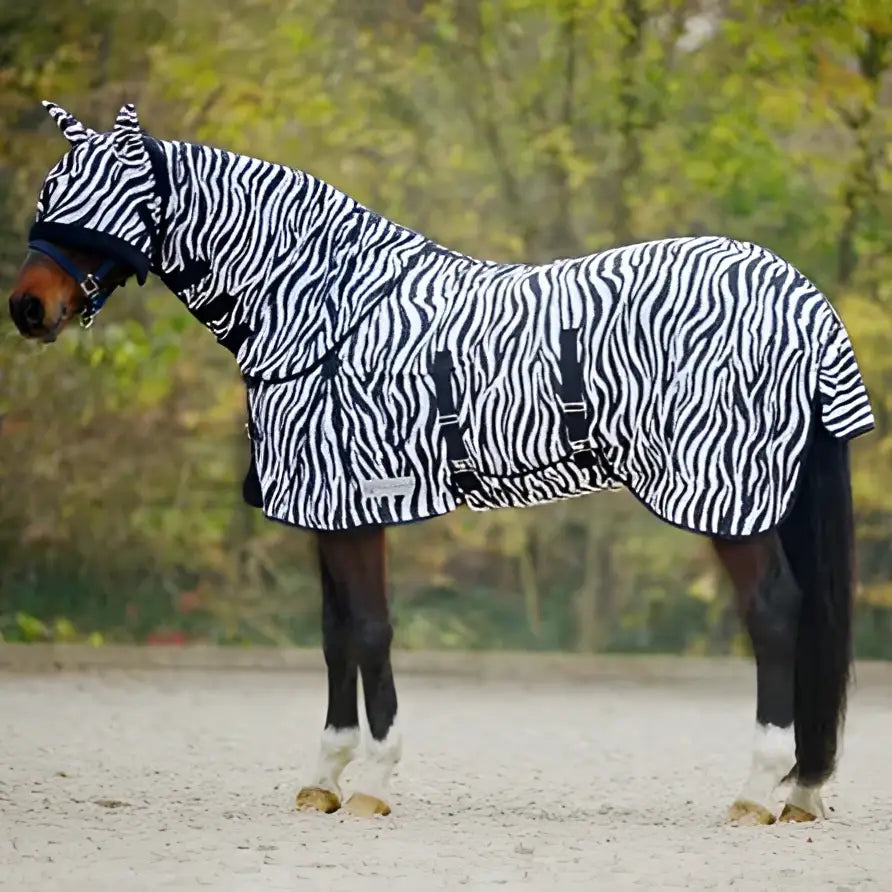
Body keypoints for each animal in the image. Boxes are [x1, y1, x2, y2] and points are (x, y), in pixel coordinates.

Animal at [8, 101, 875, 823]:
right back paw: (801, 790)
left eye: (102, 199)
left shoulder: (358, 503)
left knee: (775, 614)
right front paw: (323, 778)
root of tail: (800, 297)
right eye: (53, 188)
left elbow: (370, 629)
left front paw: (372, 782)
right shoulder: (328, 510)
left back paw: (757, 791)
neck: (324, 311)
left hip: (730, 498)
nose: (27, 309)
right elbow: (335, 633)